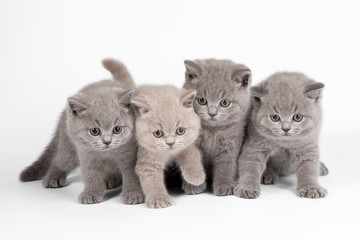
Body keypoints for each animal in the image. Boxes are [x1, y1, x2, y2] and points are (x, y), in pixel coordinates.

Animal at [19, 59, 143, 203]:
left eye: (117, 129)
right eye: (94, 131)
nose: (107, 141)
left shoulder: (130, 153)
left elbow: (131, 173)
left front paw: (133, 194)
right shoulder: (86, 152)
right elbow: (91, 174)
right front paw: (91, 194)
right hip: (69, 147)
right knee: (60, 160)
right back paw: (53, 178)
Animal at [184, 58, 252, 195]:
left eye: (225, 103)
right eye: (202, 101)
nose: (212, 113)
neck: (212, 131)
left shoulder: (230, 143)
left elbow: (226, 165)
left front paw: (225, 185)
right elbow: (192, 159)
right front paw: (193, 185)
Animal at [233, 71, 330, 199]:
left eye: (297, 117)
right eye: (275, 117)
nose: (286, 128)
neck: (284, 143)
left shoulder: (307, 145)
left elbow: (309, 167)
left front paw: (311, 188)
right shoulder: (255, 144)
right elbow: (250, 166)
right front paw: (247, 188)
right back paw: (268, 175)